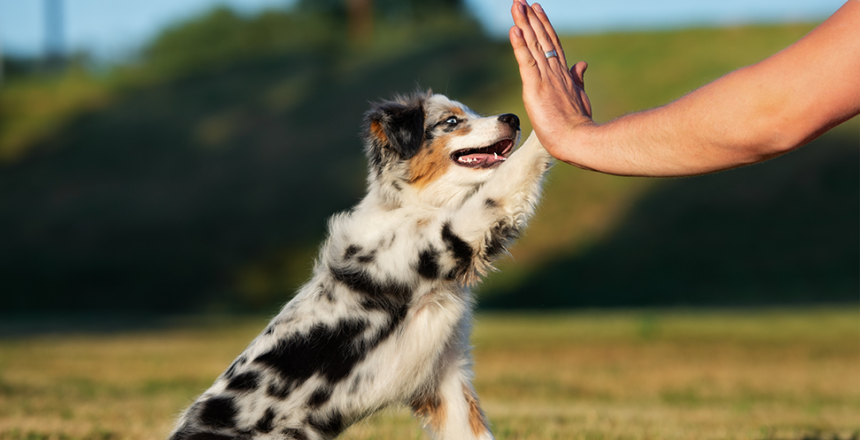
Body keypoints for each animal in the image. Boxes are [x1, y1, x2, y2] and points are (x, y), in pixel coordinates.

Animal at [168, 90, 556, 440]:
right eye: (451, 121)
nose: (513, 118)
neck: (413, 205)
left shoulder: (445, 374)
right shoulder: (452, 235)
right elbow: (506, 180)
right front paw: (550, 119)